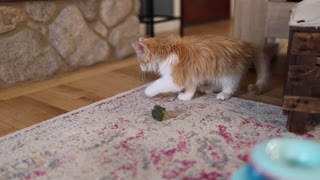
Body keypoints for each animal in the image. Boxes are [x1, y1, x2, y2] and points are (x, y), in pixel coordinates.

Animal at [131, 35, 268, 100]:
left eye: (141, 61)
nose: (141, 68)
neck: (166, 50)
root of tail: (246, 44)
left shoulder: (176, 79)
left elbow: (158, 84)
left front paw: (148, 91)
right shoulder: (190, 75)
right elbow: (190, 88)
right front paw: (187, 97)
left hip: (228, 73)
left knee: (230, 86)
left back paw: (224, 94)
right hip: (215, 72)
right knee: (217, 83)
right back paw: (207, 88)